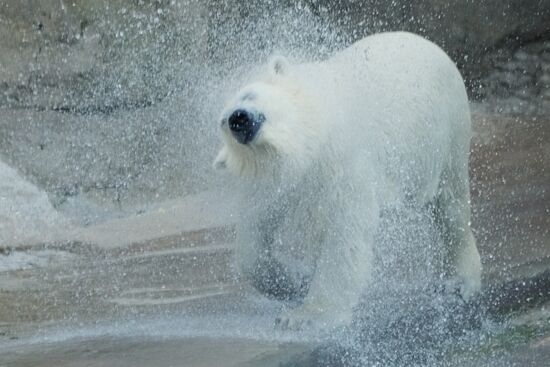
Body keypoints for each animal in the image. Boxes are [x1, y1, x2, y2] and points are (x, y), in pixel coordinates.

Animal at [215, 31, 484, 330]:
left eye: (248, 94)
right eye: (223, 122)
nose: (238, 118)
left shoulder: (343, 160)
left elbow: (345, 233)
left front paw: (305, 316)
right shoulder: (273, 185)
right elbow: (254, 236)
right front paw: (296, 280)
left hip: (445, 132)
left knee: (451, 204)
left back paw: (460, 281)